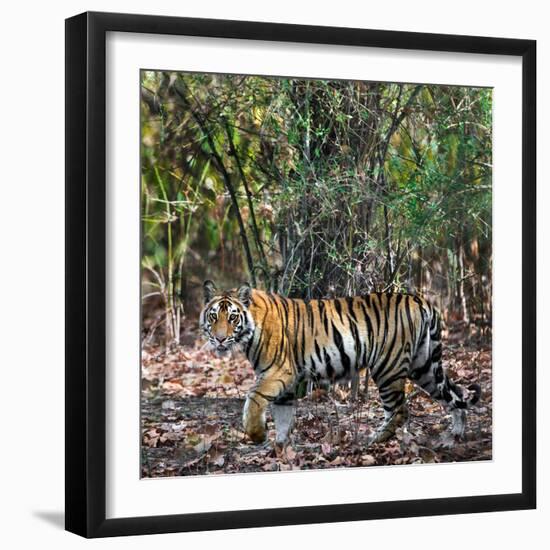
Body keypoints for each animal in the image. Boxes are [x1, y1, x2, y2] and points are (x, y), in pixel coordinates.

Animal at [201, 280, 480, 448]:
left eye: (232, 317)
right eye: (213, 317)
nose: (220, 338)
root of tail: (420, 300)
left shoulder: (279, 371)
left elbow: (253, 399)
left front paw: (257, 435)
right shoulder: (287, 383)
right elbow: (283, 416)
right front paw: (280, 448)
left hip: (387, 367)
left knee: (400, 410)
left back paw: (374, 440)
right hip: (424, 367)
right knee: (454, 394)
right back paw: (455, 436)